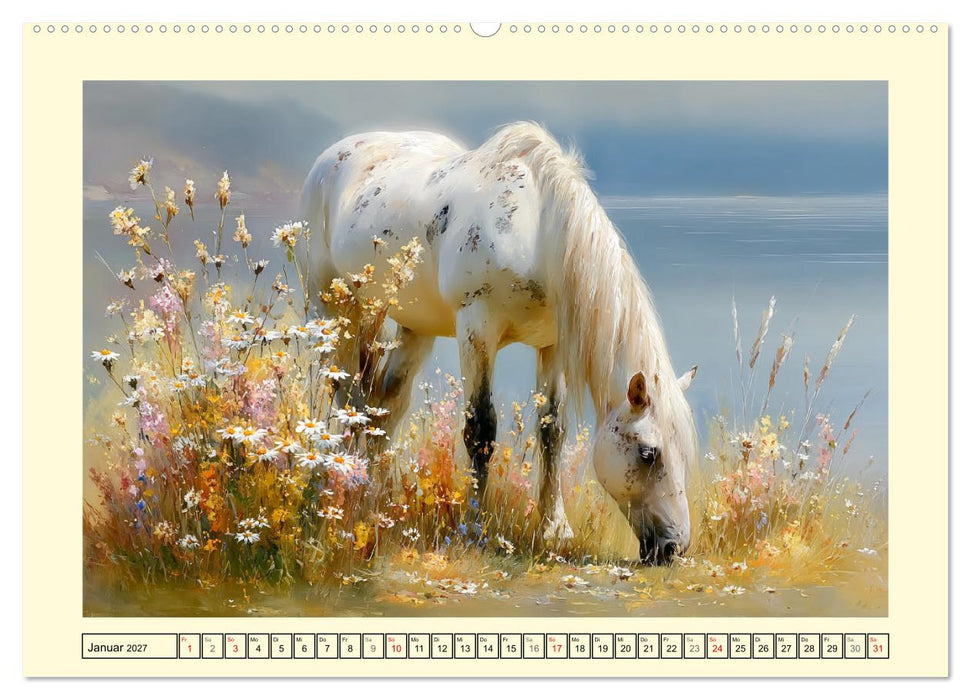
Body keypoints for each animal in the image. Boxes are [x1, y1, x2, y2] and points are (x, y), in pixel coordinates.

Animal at [301, 122, 698, 564]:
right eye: (649, 453)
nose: (673, 547)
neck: (538, 229)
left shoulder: (552, 345)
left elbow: (552, 431)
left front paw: (555, 528)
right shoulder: (477, 328)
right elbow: (480, 430)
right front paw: (476, 527)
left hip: (415, 327)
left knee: (386, 405)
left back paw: (378, 496)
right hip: (335, 308)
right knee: (350, 398)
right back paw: (348, 487)